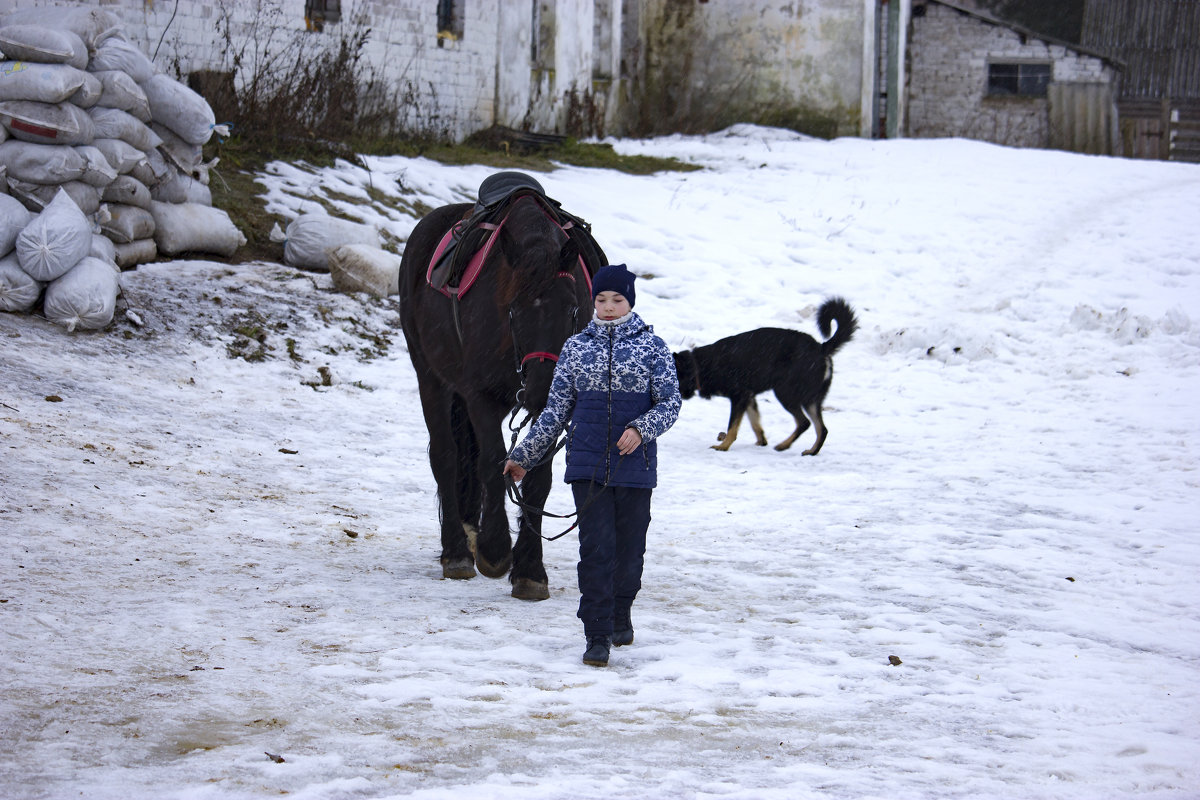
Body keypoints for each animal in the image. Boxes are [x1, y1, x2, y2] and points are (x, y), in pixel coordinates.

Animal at [398, 176, 600, 599]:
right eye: (514, 309)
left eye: (573, 309)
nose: (542, 388)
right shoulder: (481, 397)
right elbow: (491, 463)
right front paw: (494, 550)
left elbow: (538, 478)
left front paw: (530, 569)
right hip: (431, 378)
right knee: (446, 456)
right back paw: (457, 551)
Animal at [676, 297, 854, 453]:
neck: (698, 367)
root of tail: (821, 348)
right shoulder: (748, 398)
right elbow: (755, 423)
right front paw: (761, 441)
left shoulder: (739, 396)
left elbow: (732, 426)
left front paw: (723, 446)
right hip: (810, 400)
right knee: (821, 429)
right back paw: (811, 451)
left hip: (785, 392)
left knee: (804, 423)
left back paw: (784, 445)